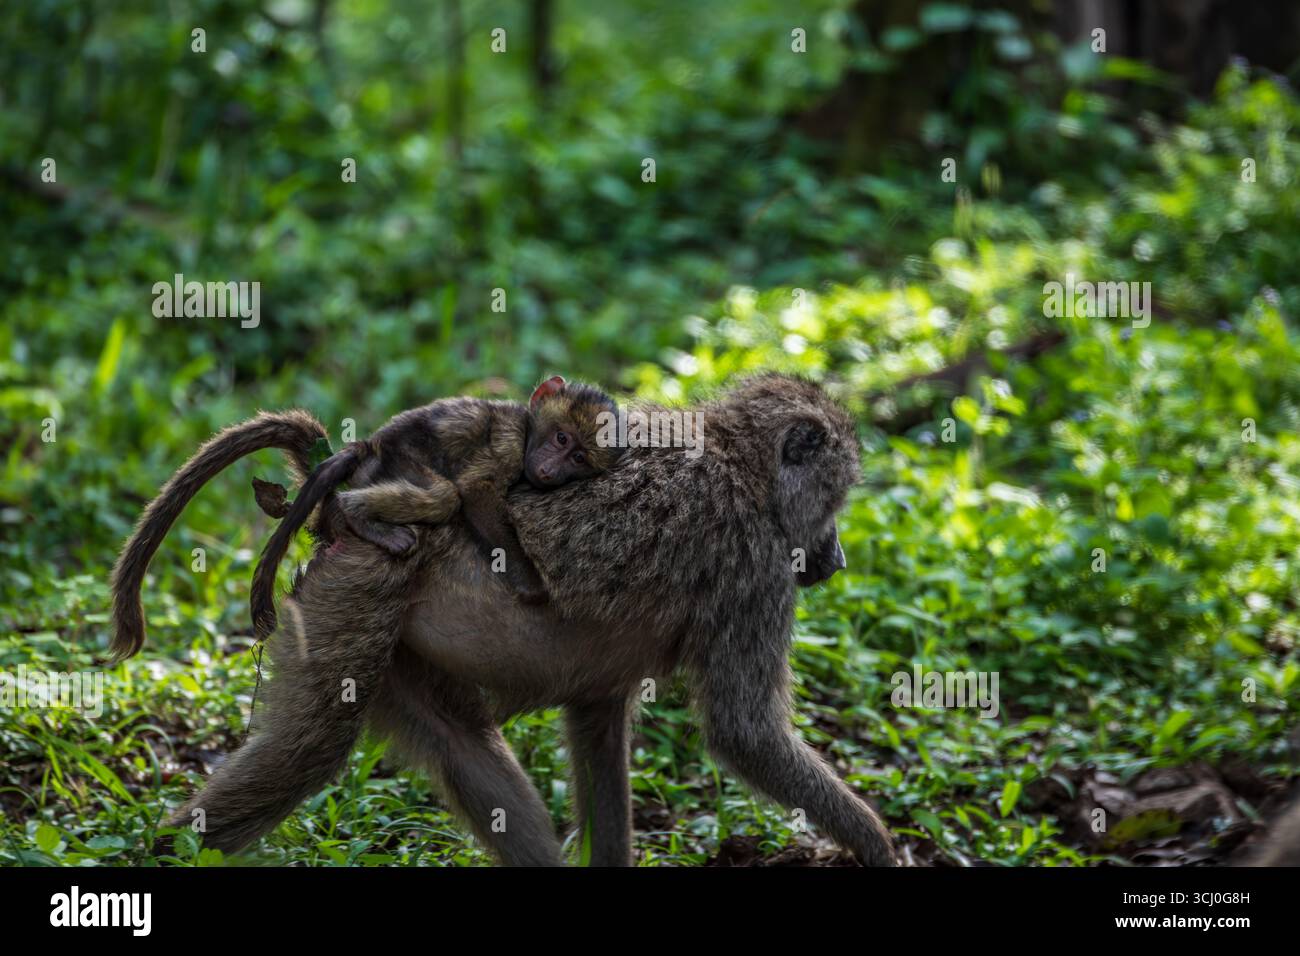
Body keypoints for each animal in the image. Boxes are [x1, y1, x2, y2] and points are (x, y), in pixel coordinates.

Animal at [248, 375, 623, 638]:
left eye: (578, 458)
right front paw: (532, 585)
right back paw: (358, 514)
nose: (549, 471)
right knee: (444, 496)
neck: (528, 427)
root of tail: (370, 447)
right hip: (397, 462)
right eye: (561, 438)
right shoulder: (509, 441)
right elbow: (474, 492)